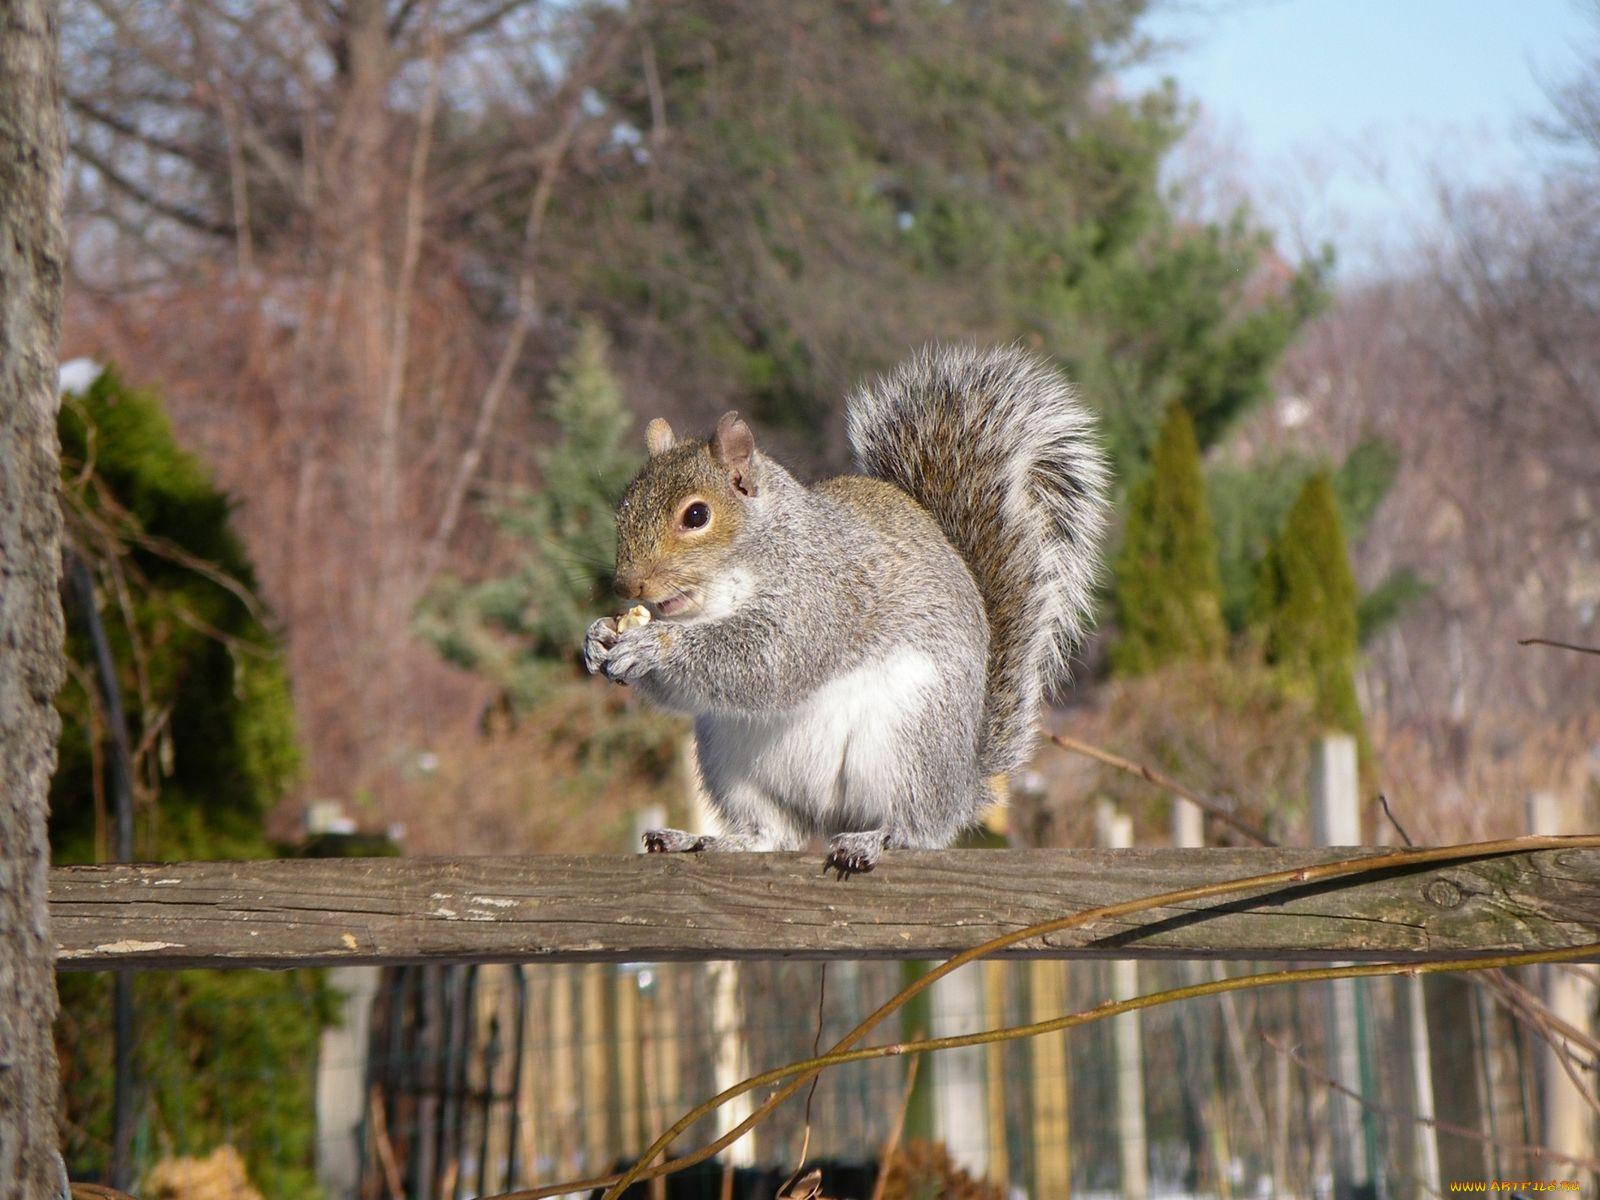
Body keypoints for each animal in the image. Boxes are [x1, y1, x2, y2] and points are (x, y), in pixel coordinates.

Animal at [585, 342, 1113, 876]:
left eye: (697, 515)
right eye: (624, 506)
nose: (626, 583)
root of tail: (961, 784)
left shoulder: (823, 596)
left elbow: (769, 660)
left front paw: (654, 645)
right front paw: (600, 636)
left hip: (906, 743)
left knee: (915, 828)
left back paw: (872, 840)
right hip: (730, 762)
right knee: (771, 834)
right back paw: (704, 840)